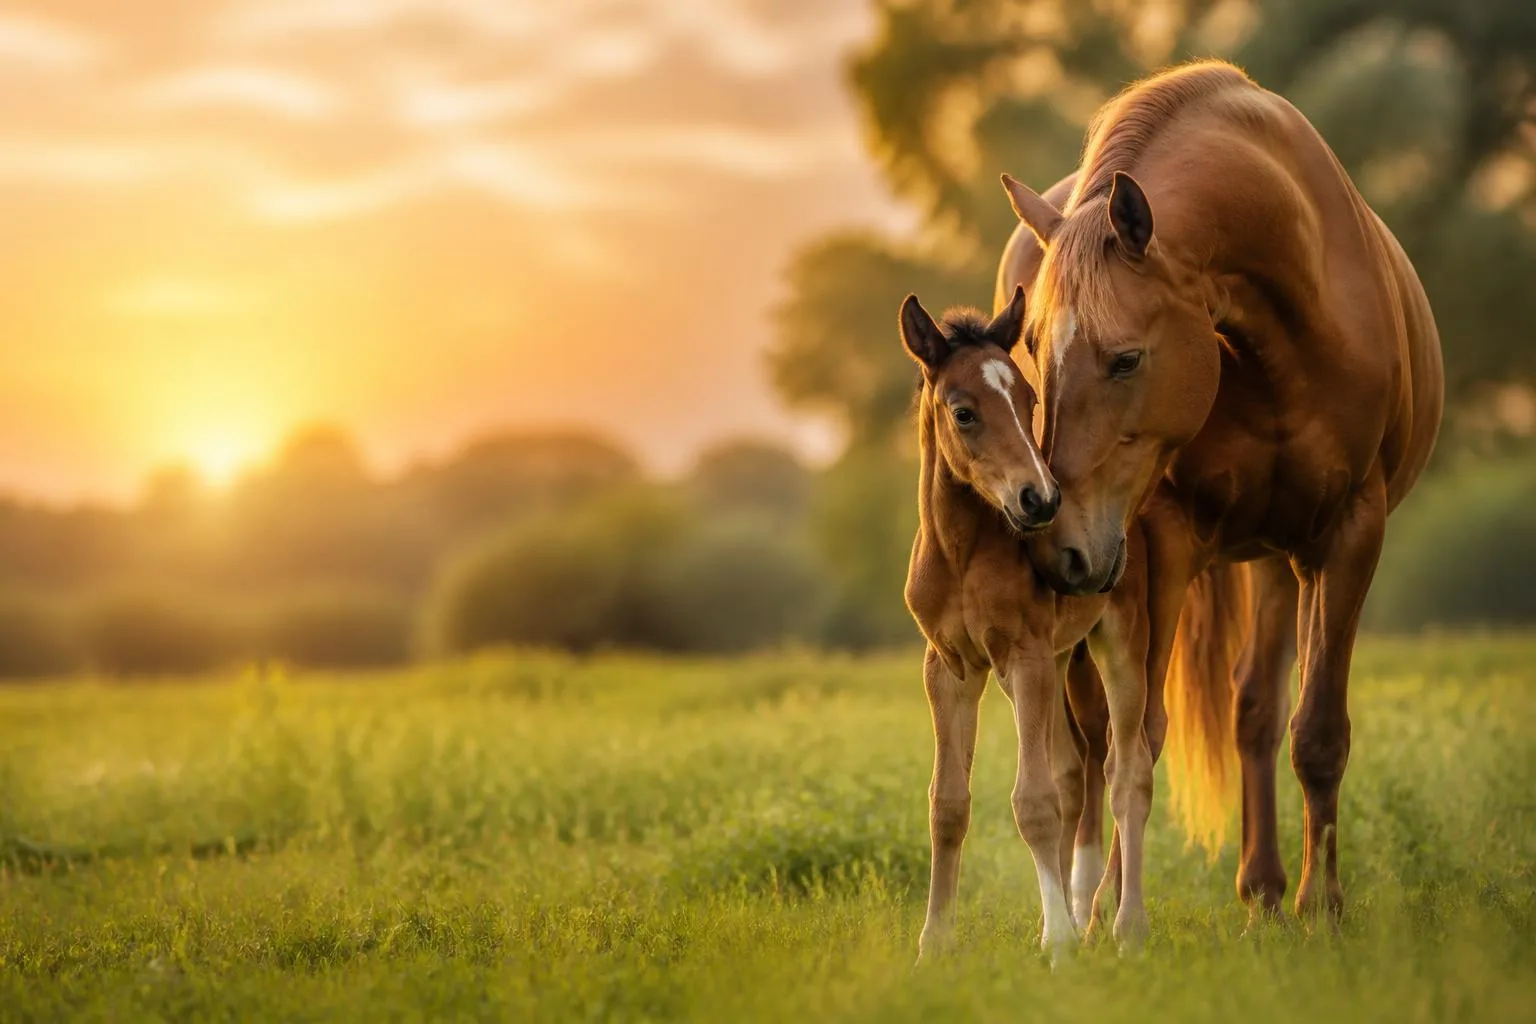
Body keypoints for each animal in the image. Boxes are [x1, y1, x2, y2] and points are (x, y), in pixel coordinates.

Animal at [900, 287, 1200, 957]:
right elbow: (947, 804)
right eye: (963, 412)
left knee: (1127, 771)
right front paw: (933, 944)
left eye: (1029, 400)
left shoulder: (1024, 655)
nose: (1041, 499)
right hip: (1059, 660)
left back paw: (1125, 927)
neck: (962, 554)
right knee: (1072, 773)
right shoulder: (950, 669)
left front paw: (1060, 942)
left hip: (1118, 645)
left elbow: (1032, 802)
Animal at [996, 60, 1445, 922]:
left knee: (1254, 712)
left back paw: (1263, 888)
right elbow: (1138, 737)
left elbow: (1316, 731)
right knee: (1092, 740)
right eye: (1032, 347)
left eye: (1126, 359)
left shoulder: (1347, 535)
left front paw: (1320, 906)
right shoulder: (1164, 542)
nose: (1059, 548)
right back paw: (1085, 897)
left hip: (1274, 559)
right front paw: (1115, 908)